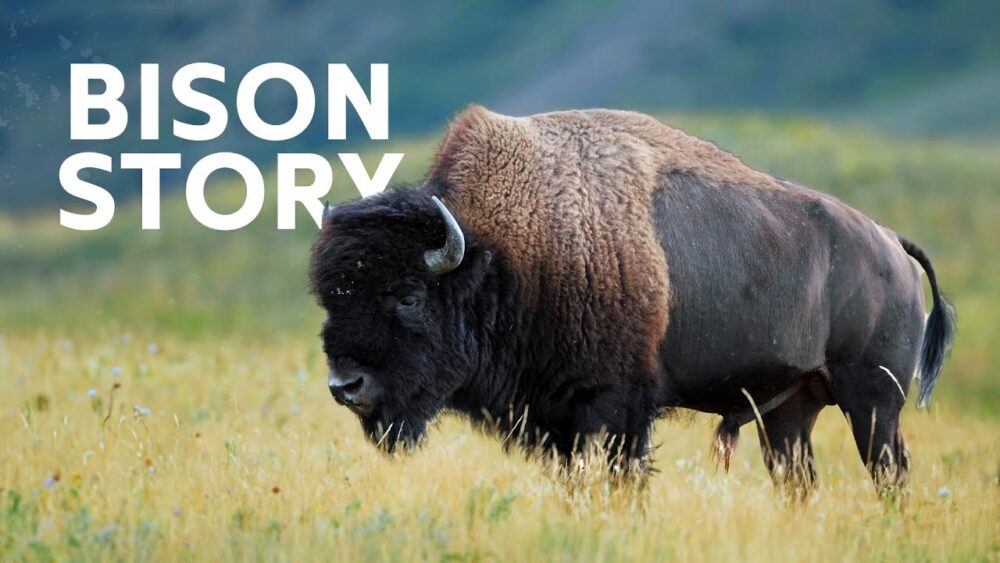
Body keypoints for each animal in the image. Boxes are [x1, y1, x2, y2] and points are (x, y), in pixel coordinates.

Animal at [309, 106, 954, 494]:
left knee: (889, 472)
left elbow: (622, 474)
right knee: (799, 478)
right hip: (790, 412)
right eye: (330, 298)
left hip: (873, 402)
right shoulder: (556, 419)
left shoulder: (616, 408)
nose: (345, 386)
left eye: (408, 296)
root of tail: (891, 243)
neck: (505, 254)